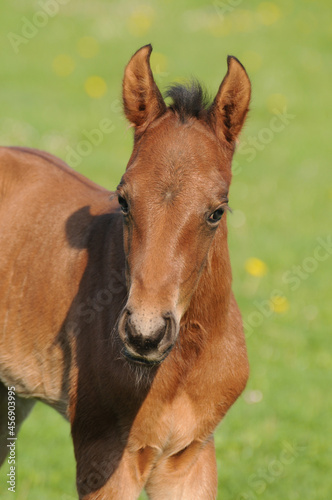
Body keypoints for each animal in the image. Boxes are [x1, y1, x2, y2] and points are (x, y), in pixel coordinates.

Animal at [0, 45, 249, 498]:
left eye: (217, 211)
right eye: (123, 199)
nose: (144, 334)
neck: (180, 365)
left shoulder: (191, 455)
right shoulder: (105, 456)